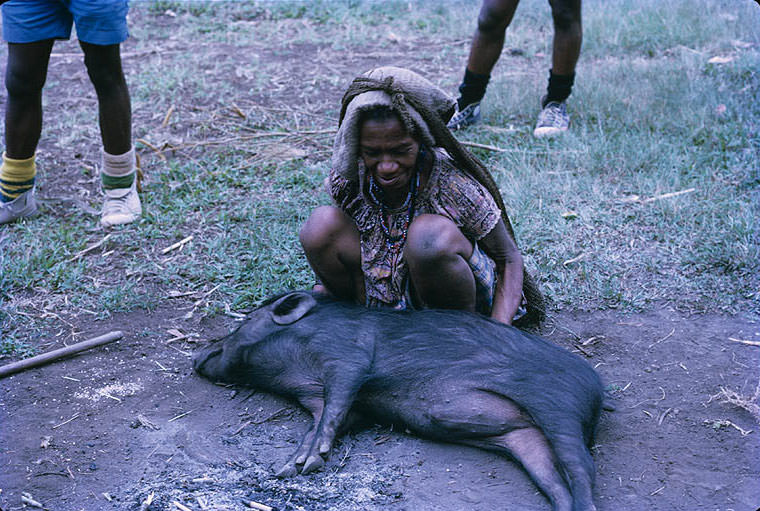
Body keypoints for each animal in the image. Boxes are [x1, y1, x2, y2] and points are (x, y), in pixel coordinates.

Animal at [196, 292, 604, 511]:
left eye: (244, 321)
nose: (198, 355)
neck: (296, 368)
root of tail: (598, 388)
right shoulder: (325, 401)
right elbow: (331, 417)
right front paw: (288, 467)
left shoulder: (348, 355)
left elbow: (338, 400)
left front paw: (310, 460)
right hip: (526, 438)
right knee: (553, 478)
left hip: (559, 407)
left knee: (582, 466)